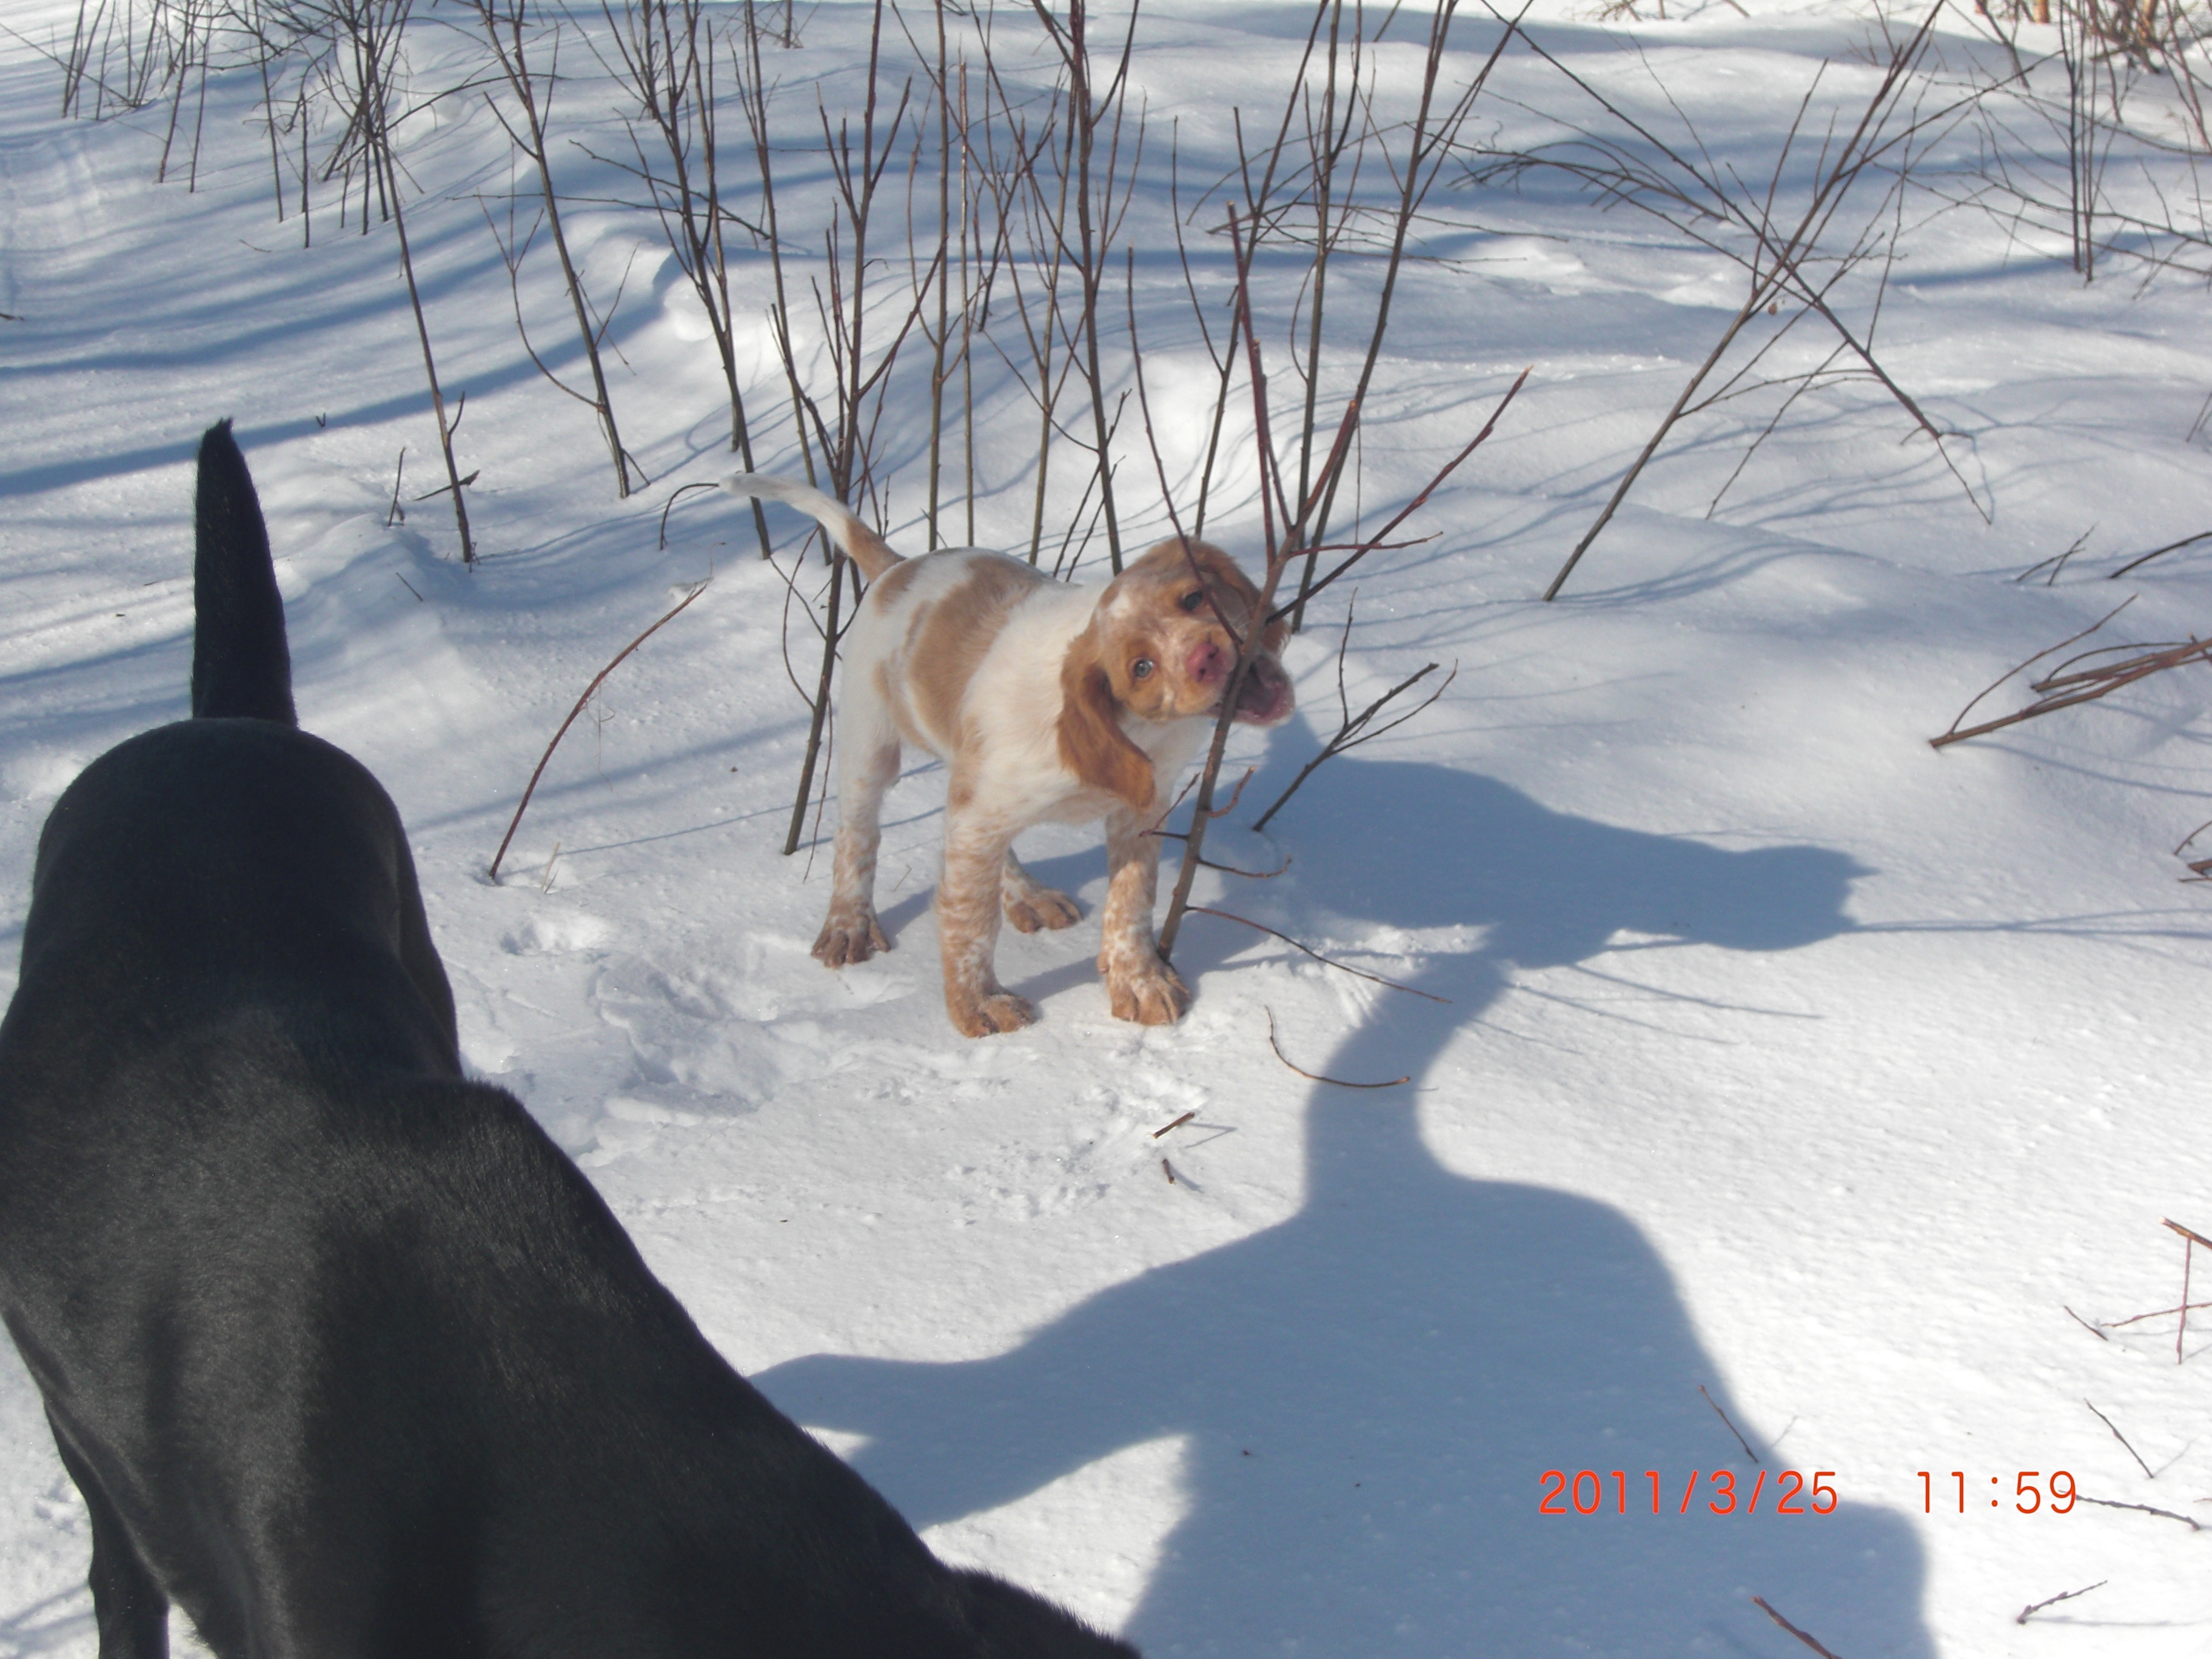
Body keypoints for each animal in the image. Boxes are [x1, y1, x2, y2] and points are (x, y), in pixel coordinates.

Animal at [722, 475, 1295, 1038]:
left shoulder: (1138, 815)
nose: (1206, 657)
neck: (1134, 732)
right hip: (872, 747)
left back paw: (1027, 895)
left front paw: (1138, 980)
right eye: (1141, 667)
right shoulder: (980, 813)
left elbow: (1131, 900)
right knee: (856, 837)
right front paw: (978, 1006)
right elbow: (970, 920)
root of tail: (898, 567)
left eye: (1194, 598)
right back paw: (848, 927)